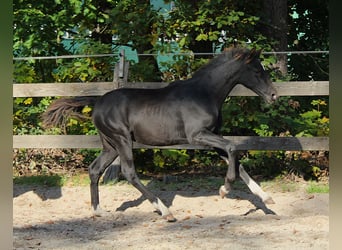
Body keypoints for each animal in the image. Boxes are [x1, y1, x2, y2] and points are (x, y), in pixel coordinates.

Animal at [42, 47, 278, 222]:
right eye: (257, 71)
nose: (274, 95)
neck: (203, 93)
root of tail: (98, 101)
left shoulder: (211, 137)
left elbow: (236, 160)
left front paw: (267, 199)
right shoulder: (197, 135)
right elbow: (232, 148)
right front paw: (225, 189)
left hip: (110, 145)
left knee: (94, 169)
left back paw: (98, 210)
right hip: (122, 139)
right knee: (129, 172)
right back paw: (165, 211)